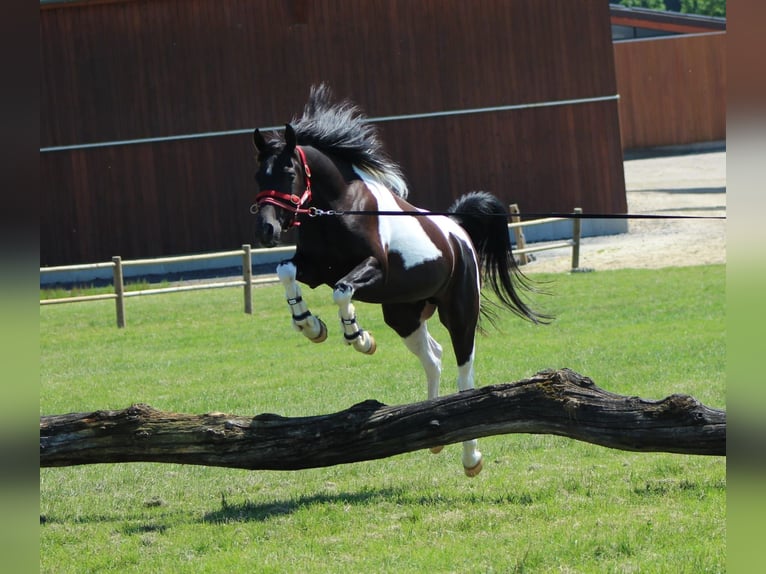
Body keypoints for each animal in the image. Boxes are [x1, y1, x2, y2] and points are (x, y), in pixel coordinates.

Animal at [252, 85, 544, 480]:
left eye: (287, 170)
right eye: (258, 175)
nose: (267, 230)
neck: (341, 206)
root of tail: (457, 232)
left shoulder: (374, 270)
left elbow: (343, 290)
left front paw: (360, 338)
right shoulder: (314, 268)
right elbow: (286, 271)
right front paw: (310, 325)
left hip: (459, 314)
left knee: (464, 374)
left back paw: (471, 457)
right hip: (404, 315)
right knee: (433, 357)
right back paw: (435, 432)